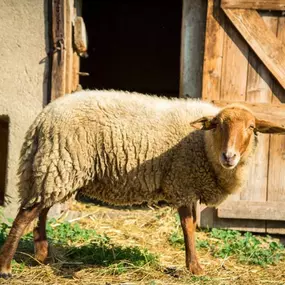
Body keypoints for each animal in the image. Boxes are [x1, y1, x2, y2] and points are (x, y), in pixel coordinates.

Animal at [0, 89, 284, 278]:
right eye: (218, 125)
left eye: (251, 127)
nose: (229, 156)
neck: (205, 145)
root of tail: (43, 117)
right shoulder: (182, 181)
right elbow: (189, 227)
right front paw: (195, 268)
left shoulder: (188, 185)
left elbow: (190, 226)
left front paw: (192, 265)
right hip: (60, 164)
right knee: (25, 215)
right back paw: (6, 267)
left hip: (56, 169)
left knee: (41, 210)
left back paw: (42, 256)